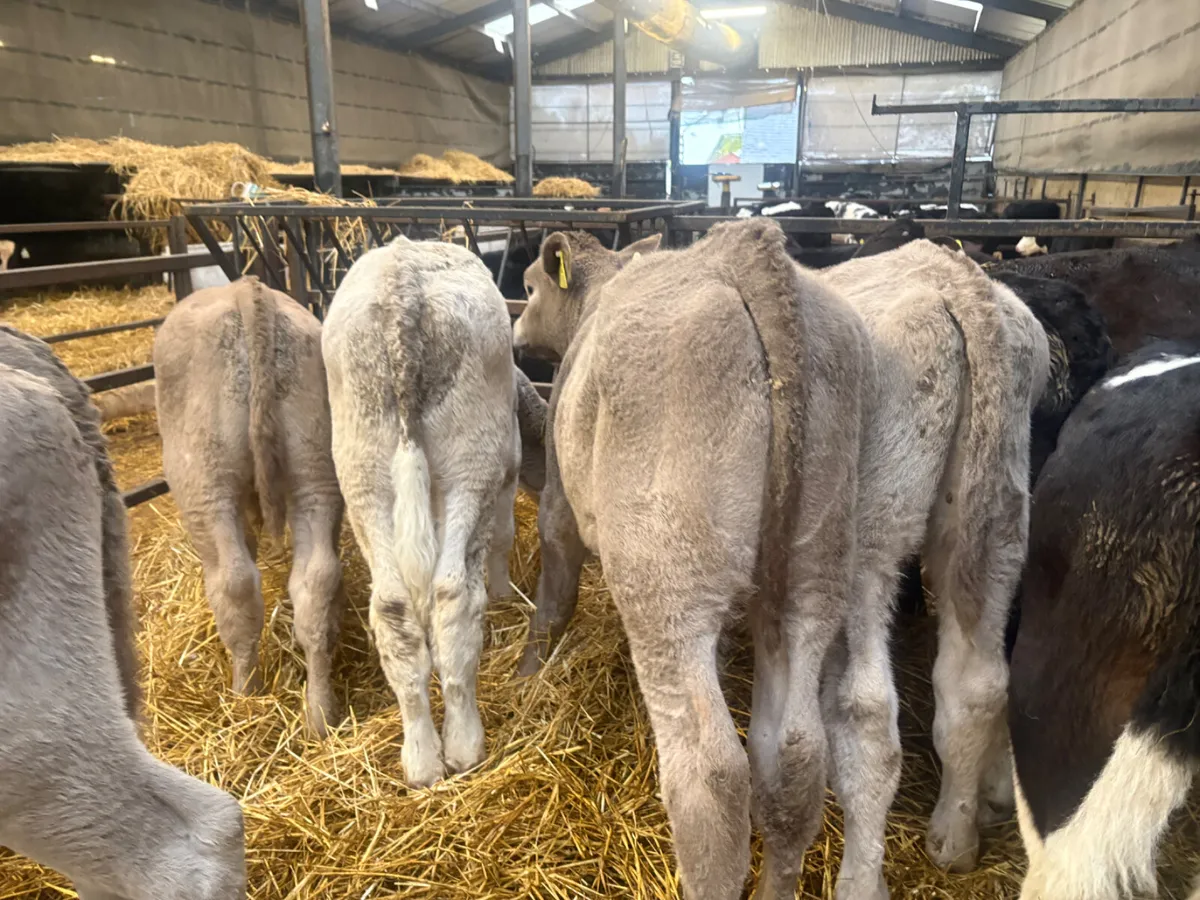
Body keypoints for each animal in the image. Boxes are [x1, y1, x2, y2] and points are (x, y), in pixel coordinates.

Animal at [154, 276, 345, 737]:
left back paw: (244, 696)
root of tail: (248, 289)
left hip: (205, 482)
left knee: (236, 581)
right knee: (317, 580)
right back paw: (320, 714)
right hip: (316, 469)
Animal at [322, 237, 520, 788]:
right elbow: (503, 536)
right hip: (471, 458)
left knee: (393, 608)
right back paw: (464, 746)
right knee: (453, 596)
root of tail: (402, 281)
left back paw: (421, 758)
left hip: (362, 467)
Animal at [513, 219, 897, 900]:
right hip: (811, 574)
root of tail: (746, 253)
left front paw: (528, 677)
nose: (515, 330)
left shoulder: (559, 499)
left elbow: (554, 593)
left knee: (711, 775)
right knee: (795, 757)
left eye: (529, 286)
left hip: (667, 582)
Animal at [819, 241, 1050, 873]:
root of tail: (955, 280)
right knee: (977, 685)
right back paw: (956, 835)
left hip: (869, 536)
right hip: (995, 523)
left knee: (867, 708)